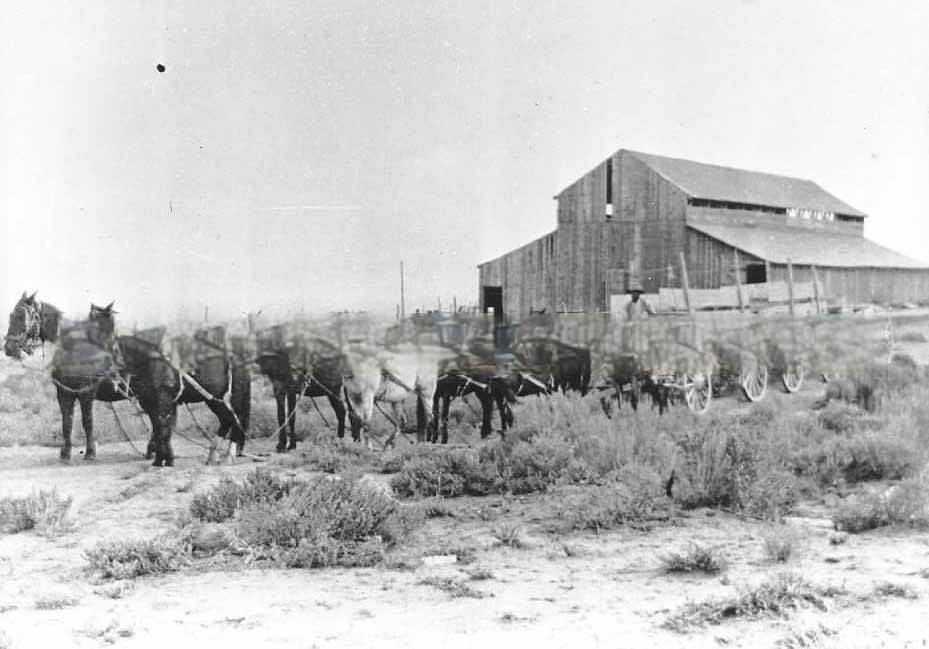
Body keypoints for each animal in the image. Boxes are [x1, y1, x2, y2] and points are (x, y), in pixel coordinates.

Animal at [254, 326, 348, 454]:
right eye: (260, 343)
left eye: (274, 343)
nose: (264, 365)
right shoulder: (278, 389)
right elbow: (281, 416)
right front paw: (281, 444)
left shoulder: (292, 390)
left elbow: (291, 416)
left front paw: (291, 445)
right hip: (332, 392)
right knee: (342, 412)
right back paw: (343, 440)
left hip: (337, 390)